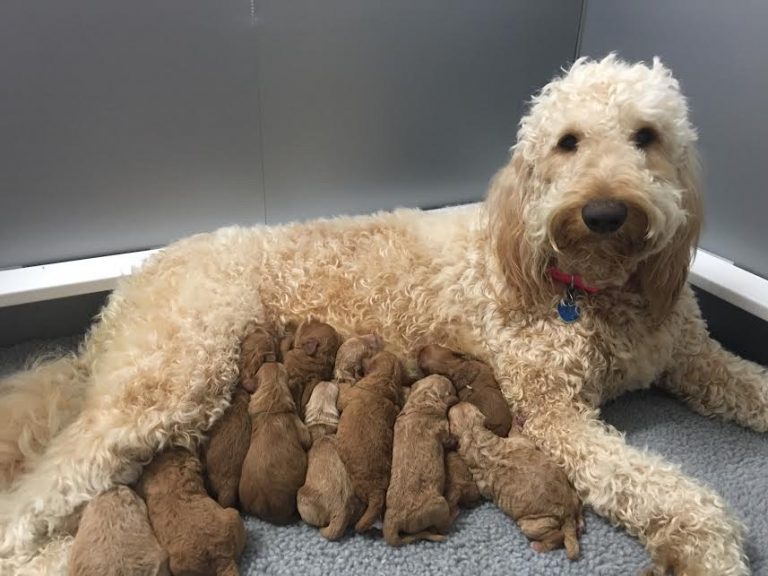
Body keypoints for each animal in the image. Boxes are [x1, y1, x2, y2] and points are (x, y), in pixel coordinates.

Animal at [382, 376, 456, 548]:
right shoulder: (443, 429)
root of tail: (393, 520)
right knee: (442, 527)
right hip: (439, 506)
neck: (422, 401)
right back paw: (454, 514)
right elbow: (448, 438)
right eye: (450, 389)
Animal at [448, 400, 580, 560]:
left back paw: (538, 546)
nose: (458, 401)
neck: (474, 435)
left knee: (557, 536)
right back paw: (580, 524)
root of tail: (567, 512)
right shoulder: (515, 443)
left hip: (535, 523)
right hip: (567, 499)